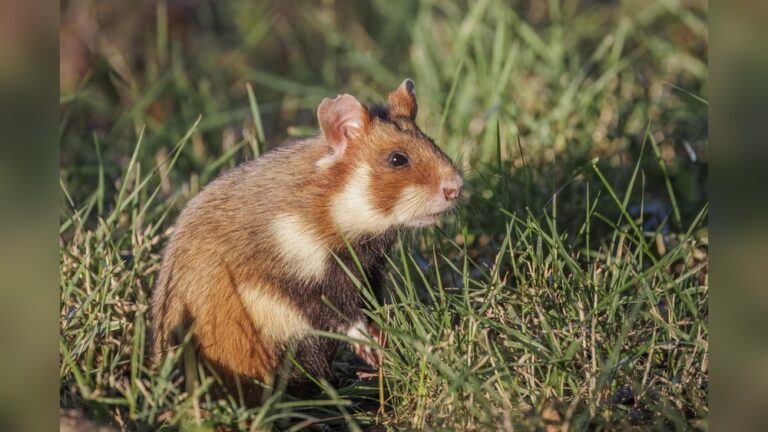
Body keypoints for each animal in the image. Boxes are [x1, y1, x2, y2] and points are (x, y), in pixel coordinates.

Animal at [150, 79, 463, 401]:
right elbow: (343, 316)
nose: (457, 188)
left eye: (431, 142)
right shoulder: (301, 279)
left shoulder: (369, 270)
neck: (334, 208)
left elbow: (370, 308)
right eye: (397, 159)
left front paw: (384, 342)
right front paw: (371, 349)